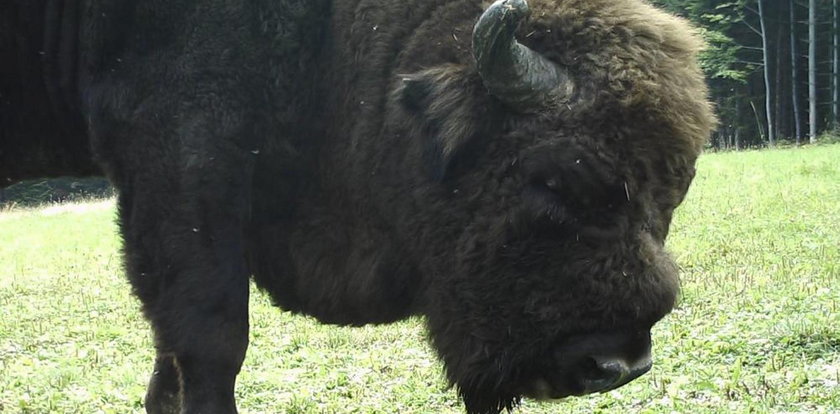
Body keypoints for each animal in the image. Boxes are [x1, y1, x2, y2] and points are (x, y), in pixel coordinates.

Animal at [0, 0, 716, 412]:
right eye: (557, 181)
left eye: (676, 189)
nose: (615, 367)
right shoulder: (177, 159)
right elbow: (211, 341)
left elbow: (167, 358)